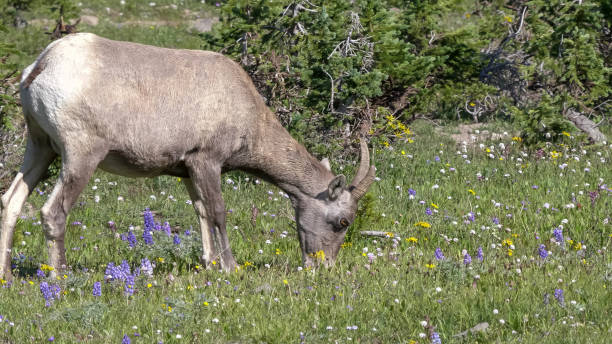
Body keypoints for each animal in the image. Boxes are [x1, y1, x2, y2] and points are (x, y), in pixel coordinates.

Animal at [0, 33, 376, 280]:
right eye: (343, 221)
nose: (322, 266)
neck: (247, 111)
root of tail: (41, 66)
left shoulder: (187, 170)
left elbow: (201, 212)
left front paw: (209, 264)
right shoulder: (206, 160)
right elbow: (218, 212)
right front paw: (230, 267)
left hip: (40, 147)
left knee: (12, 201)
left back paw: (7, 275)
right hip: (81, 155)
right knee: (53, 211)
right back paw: (58, 277)